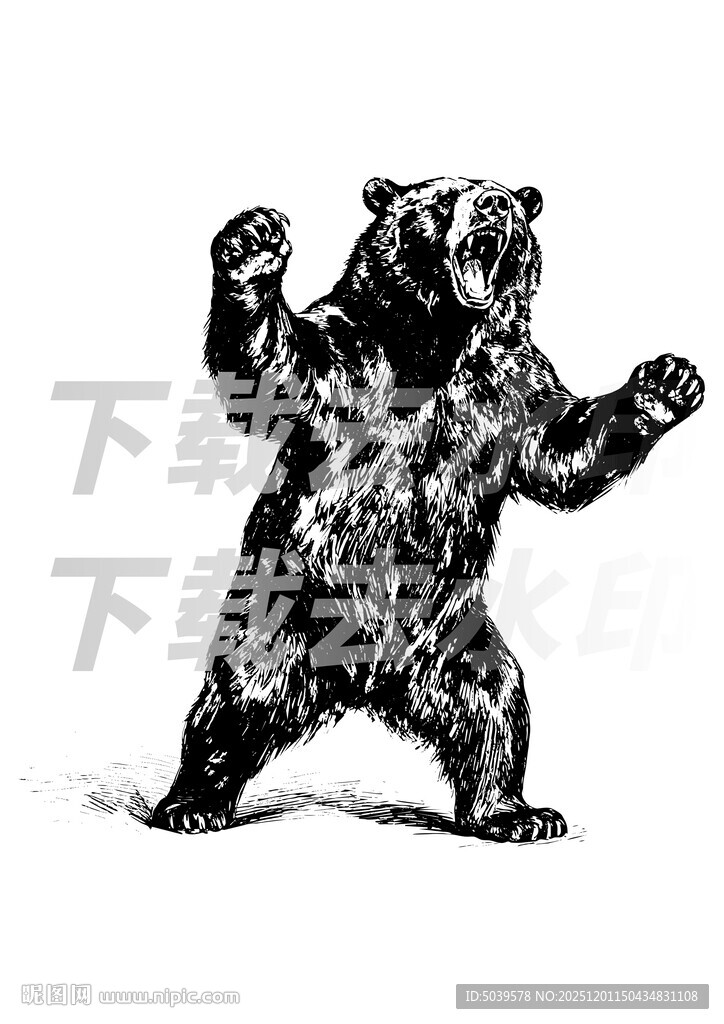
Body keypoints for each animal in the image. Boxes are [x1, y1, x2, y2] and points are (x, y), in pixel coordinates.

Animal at [151, 176, 704, 841]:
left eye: (512, 204)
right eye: (443, 200)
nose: (494, 205)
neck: (440, 343)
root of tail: (364, 677)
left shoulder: (513, 384)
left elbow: (559, 451)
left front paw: (667, 382)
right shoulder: (354, 358)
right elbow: (274, 367)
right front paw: (255, 241)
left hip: (453, 640)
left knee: (495, 707)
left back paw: (517, 812)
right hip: (284, 613)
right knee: (237, 702)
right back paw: (192, 804)